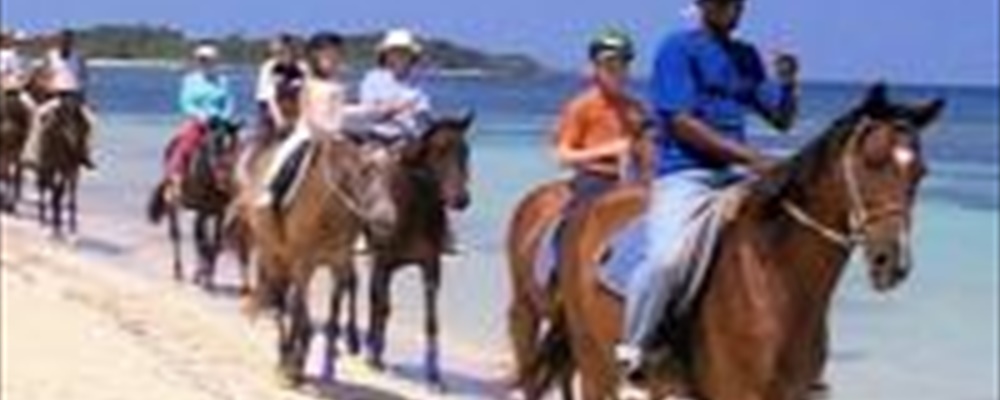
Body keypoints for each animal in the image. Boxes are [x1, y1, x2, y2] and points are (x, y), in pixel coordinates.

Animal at [147, 118, 245, 292]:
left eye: (235, 146)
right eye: (213, 146)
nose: (224, 178)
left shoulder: (219, 212)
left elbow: (215, 242)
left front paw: (208, 276)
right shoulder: (202, 210)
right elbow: (202, 241)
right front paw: (202, 276)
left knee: (200, 236)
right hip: (173, 201)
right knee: (176, 234)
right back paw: (179, 271)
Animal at [341, 113, 475, 390]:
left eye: (465, 151)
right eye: (438, 151)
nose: (461, 199)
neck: (413, 208)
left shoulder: (430, 266)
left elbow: (430, 319)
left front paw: (434, 374)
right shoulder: (382, 261)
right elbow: (382, 306)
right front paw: (374, 357)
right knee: (352, 284)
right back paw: (354, 341)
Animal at [544, 83, 944, 400]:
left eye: (920, 173)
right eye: (871, 160)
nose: (891, 263)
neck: (774, 275)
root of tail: (589, 208)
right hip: (595, 368)